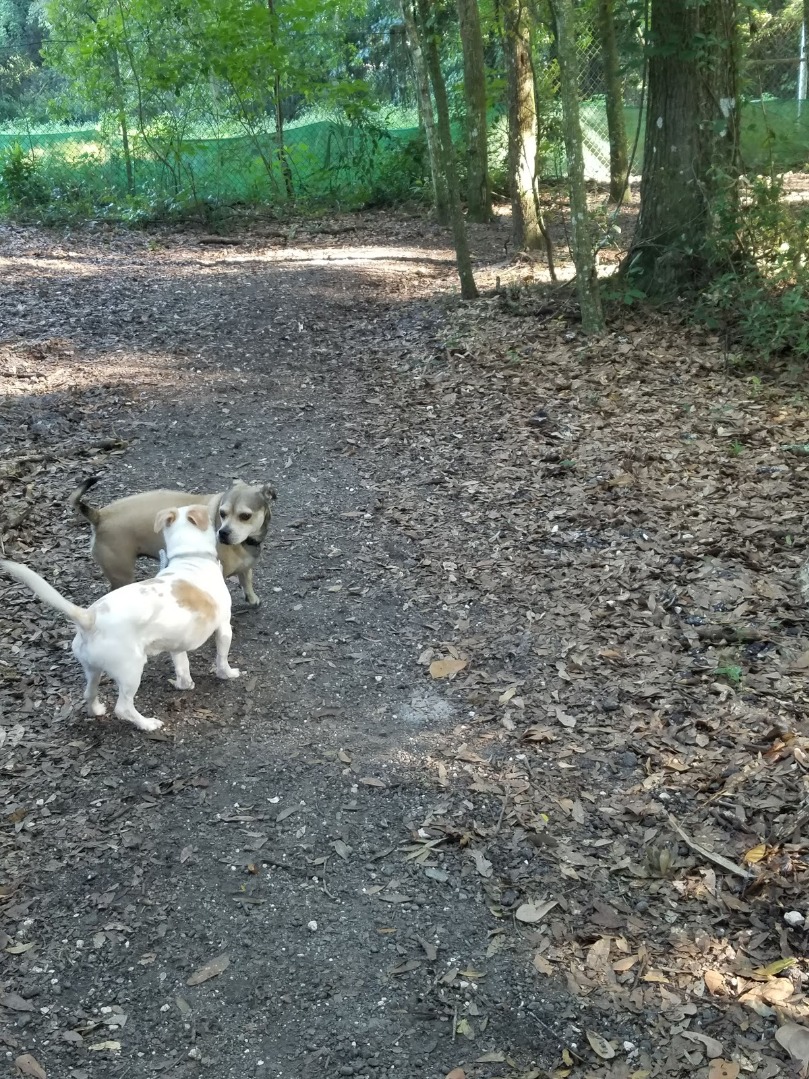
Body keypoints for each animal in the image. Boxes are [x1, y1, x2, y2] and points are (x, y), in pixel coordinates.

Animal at [1, 505, 240, 732]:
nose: (222, 530)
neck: (191, 557)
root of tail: (89, 617)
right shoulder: (224, 628)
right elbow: (222, 657)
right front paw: (228, 674)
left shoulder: (177, 644)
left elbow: (182, 668)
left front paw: (185, 684)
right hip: (131, 671)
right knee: (123, 708)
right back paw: (147, 724)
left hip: (93, 670)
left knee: (89, 694)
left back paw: (97, 710)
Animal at [70, 476, 276, 606]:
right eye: (222, 513)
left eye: (245, 516)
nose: (222, 533)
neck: (246, 542)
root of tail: (100, 516)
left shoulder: (246, 568)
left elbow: (247, 581)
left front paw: (251, 598)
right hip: (122, 575)